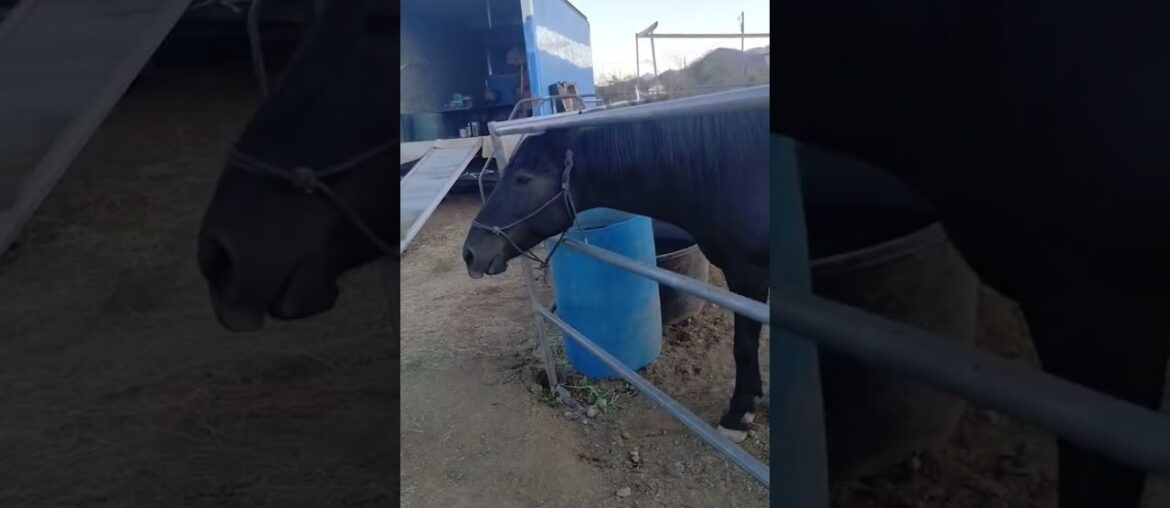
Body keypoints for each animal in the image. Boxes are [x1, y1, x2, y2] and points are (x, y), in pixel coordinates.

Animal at [461, 109, 770, 442]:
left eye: (523, 179)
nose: (469, 253)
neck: (727, 172)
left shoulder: (748, 273)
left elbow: (744, 344)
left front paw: (738, 416)